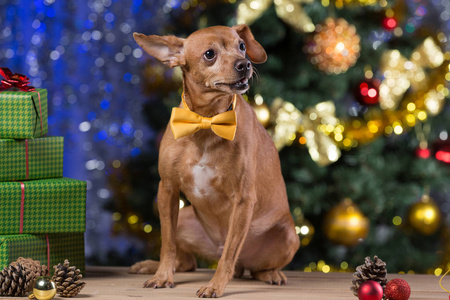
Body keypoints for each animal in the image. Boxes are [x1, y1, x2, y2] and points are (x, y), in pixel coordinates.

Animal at [129, 25, 298, 298]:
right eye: (210, 54)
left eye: (241, 46)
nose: (245, 64)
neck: (206, 122)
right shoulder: (167, 189)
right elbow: (167, 244)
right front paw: (162, 276)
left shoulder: (243, 201)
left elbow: (228, 255)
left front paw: (214, 286)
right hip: (184, 216)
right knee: (186, 261)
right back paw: (149, 265)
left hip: (288, 237)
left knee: (250, 266)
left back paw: (272, 274)